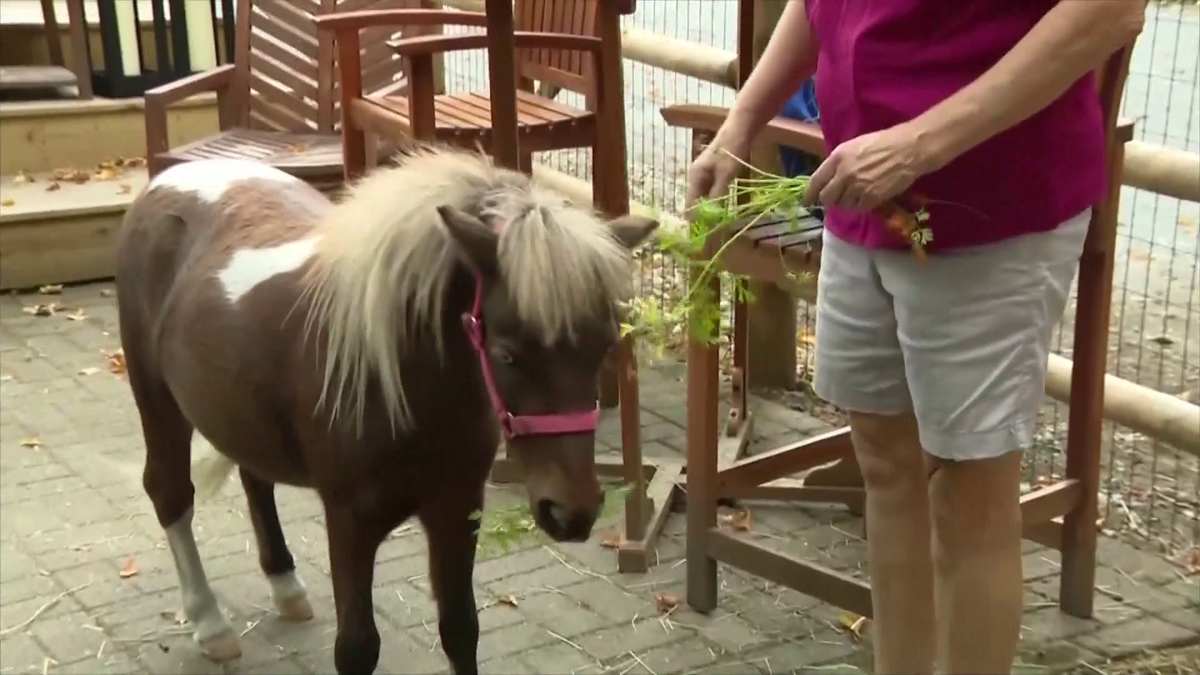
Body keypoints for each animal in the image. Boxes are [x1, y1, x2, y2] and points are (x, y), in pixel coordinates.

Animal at [114, 146, 658, 675]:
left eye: (604, 346)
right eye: (506, 353)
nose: (572, 513)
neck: (402, 384)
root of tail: (170, 180)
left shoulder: (456, 511)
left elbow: (461, 631)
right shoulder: (350, 524)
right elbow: (357, 648)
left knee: (255, 479)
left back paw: (286, 586)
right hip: (156, 401)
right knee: (169, 492)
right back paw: (210, 624)